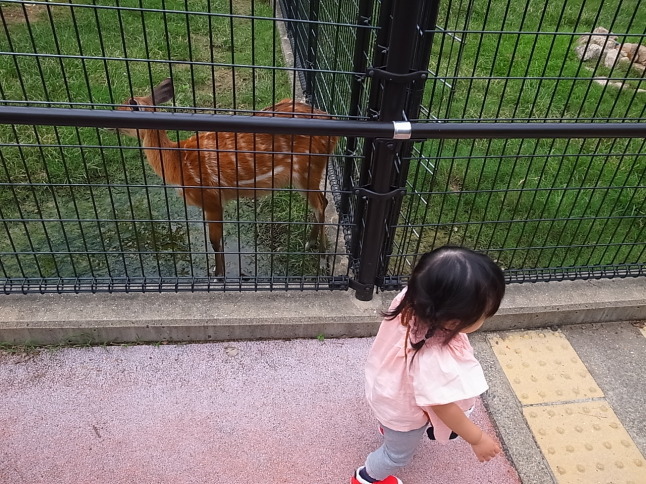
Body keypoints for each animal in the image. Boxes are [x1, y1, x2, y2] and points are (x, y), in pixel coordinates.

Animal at [116, 78, 340, 276]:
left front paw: (218, 275)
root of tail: (333, 124)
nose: (111, 124)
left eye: (123, 108)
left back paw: (322, 260)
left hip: (307, 168)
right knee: (321, 202)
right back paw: (310, 243)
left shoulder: (211, 198)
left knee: (321, 204)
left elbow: (215, 242)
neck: (177, 162)